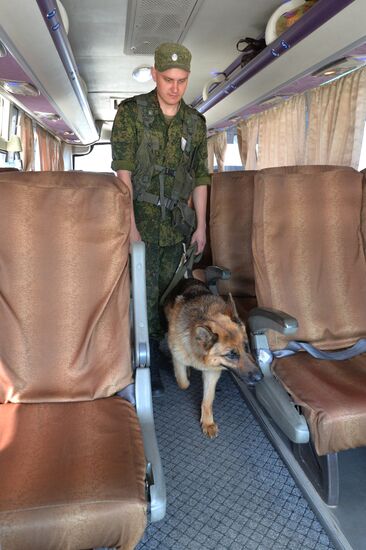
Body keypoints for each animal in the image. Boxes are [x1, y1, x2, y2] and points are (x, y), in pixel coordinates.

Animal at [164, 280, 262, 440]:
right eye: (231, 355)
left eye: (246, 346)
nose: (260, 377)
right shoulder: (178, 357)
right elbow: (183, 383)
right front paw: (185, 375)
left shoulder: (212, 373)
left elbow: (208, 400)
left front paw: (208, 423)